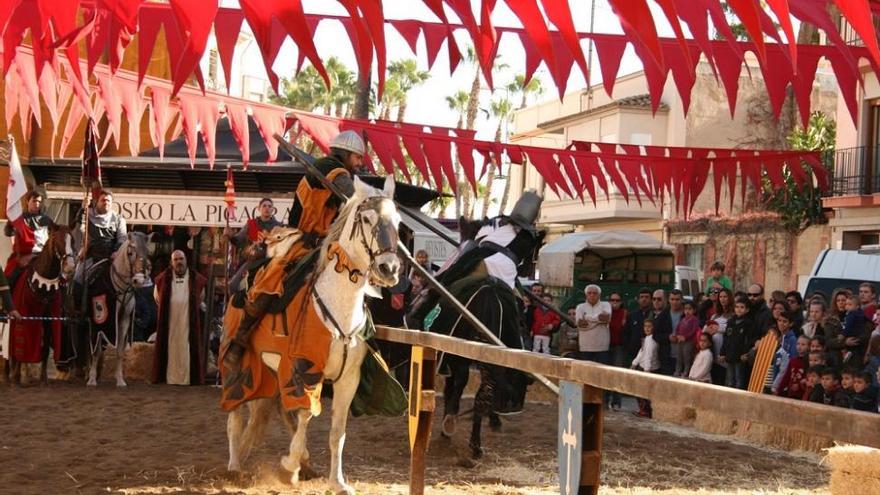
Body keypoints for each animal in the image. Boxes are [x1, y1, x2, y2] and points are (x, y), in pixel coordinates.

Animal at [7, 227, 75, 386]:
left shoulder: (48, 320)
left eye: (73, 241)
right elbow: (22, 346)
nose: (70, 267)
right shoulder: (23, 318)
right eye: (58, 242)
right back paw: (15, 374)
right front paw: (19, 376)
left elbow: (44, 351)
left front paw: (43, 378)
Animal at [86, 231, 151, 390]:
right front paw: (92, 379)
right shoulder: (99, 323)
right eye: (130, 252)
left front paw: (120, 380)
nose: (139, 280)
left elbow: (120, 350)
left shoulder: (123, 319)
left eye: (147, 253)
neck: (118, 287)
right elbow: (96, 350)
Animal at [225, 176, 404, 494]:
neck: (339, 304)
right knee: (235, 412)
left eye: (397, 221)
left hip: (267, 371)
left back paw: (304, 463)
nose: (389, 269)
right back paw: (235, 465)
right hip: (240, 367)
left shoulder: (348, 381)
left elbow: (337, 431)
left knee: (278, 411)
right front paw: (288, 469)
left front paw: (337, 481)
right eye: (367, 219)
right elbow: (307, 414)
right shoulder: (303, 371)